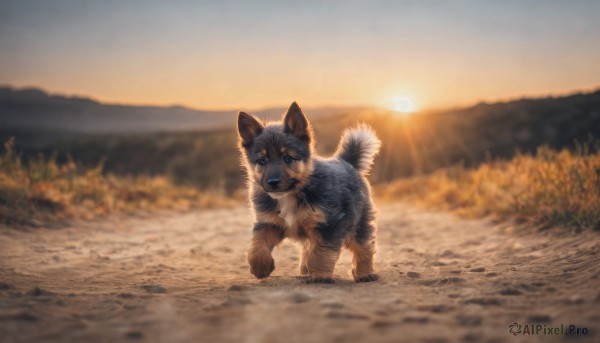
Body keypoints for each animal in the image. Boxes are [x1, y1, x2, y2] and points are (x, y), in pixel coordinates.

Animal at [236, 103, 380, 284]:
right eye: (262, 161)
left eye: (288, 158)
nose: (273, 182)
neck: (293, 193)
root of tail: (347, 162)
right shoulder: (269, 223)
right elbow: (257, 244)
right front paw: (260, 266)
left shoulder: (329, 224)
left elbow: (322, 252)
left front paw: (320, 275)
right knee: (308, 248)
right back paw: (305, 270)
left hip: (358, 222)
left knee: (364, 247)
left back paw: (364, 273)